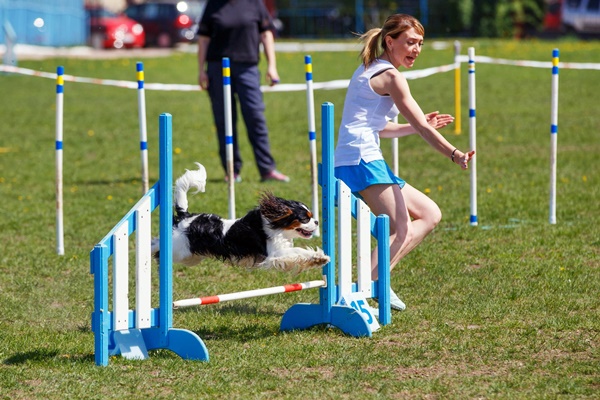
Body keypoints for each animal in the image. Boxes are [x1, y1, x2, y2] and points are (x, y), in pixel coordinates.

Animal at [150, 162, 328, 272]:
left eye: (312, 216)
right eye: (305, 219)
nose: (317, 221)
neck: (277, 227)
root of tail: (185, 216)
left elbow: (299, 253)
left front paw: (319, 258)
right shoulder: (274, 254)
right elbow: (298, 251)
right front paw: (318, 257)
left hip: (191, 257)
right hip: (180, 248)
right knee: (157, 245)